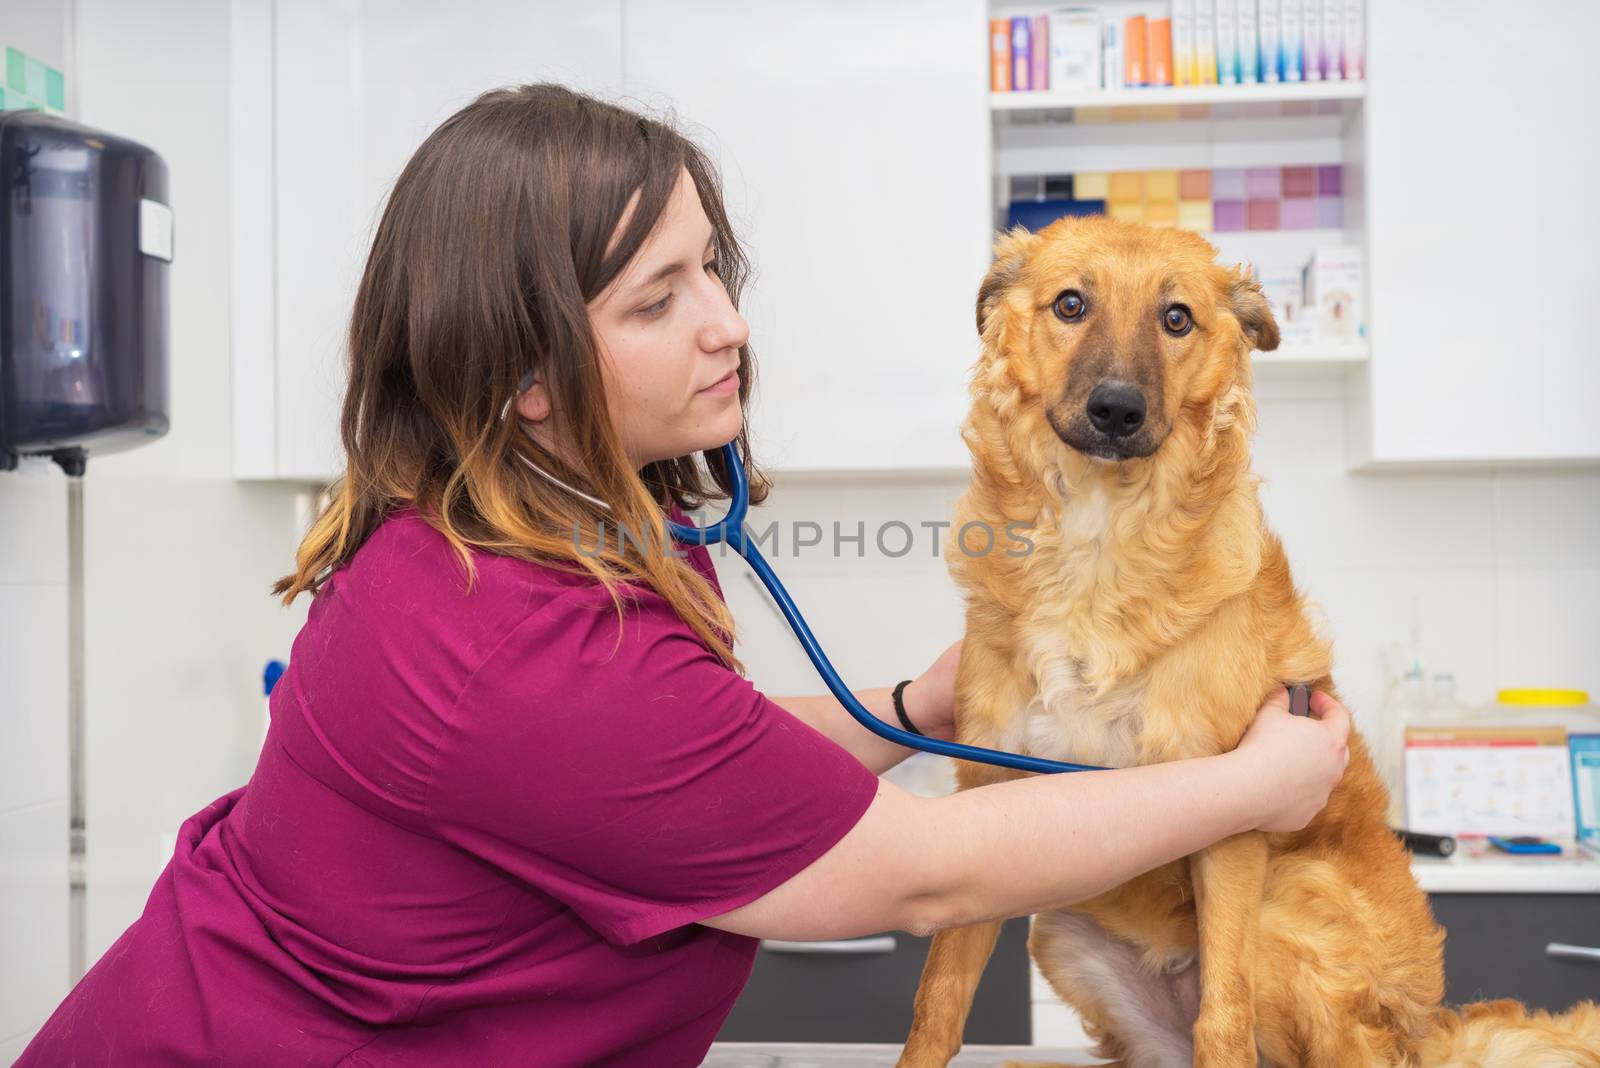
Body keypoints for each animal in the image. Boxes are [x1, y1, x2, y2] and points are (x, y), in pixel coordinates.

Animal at [902, 219, 1600, 1068]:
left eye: (1176, 318)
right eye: (1070, 304)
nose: (1118, 410)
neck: (1100, 543)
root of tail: (1426, 1030)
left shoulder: (1231, 818)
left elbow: (1223, 1019)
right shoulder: (988, 793)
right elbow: (940, 1002)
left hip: (1283, 915)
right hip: (1062, 934)